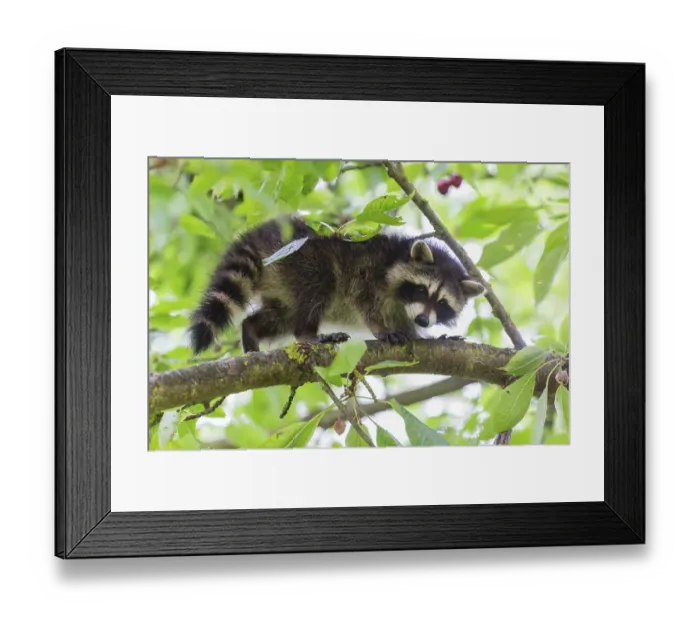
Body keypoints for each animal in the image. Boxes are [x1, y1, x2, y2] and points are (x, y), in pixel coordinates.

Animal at [189, 217, 485, 354]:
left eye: (442, 303)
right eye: (422, 290)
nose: (424, 320)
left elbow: (406, 326)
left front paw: (424, 336)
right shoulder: (369, 272)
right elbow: (365, 301)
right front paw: (380, 328)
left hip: (282, 281)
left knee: (280, 317)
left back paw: (251, 330)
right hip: (302, 260)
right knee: (318, 288)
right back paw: (307, 333)